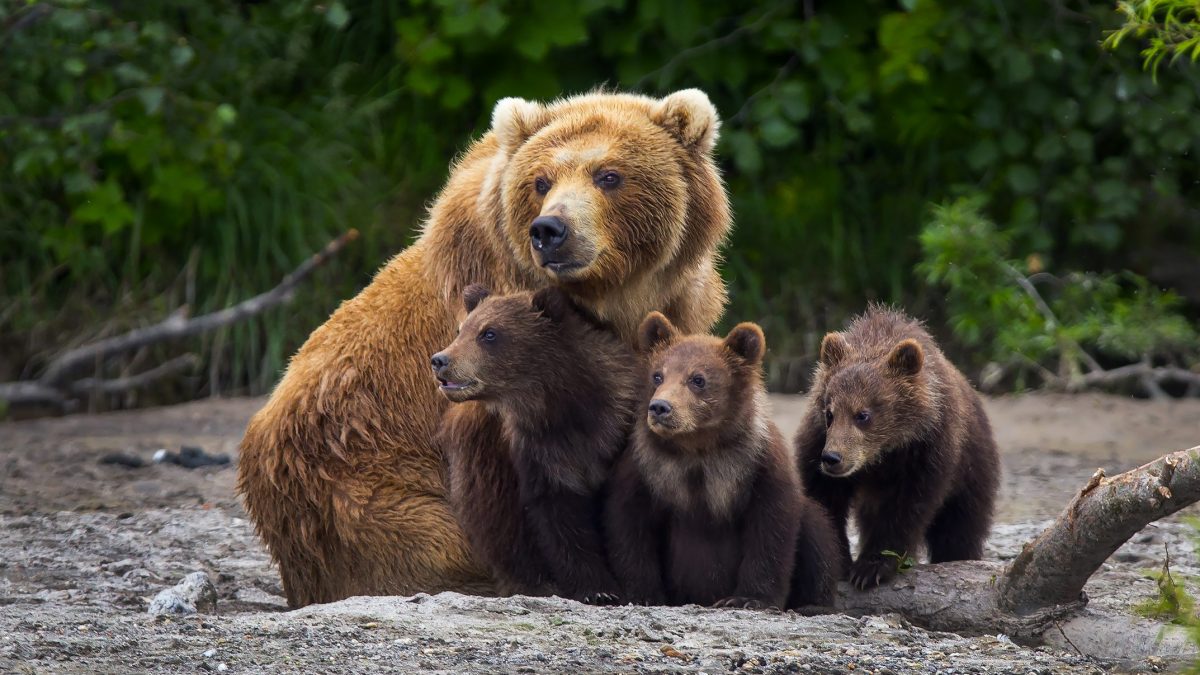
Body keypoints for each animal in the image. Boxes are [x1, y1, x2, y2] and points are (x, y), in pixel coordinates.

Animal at [431, 284, 635, 604]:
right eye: (461, 329)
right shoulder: (540, 453)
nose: (440, 360)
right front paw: (597, 589)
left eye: (489, 333)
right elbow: (559, 520)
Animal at [605, 312, 842, 610]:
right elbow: (629, 525)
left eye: (698, 379)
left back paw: (814, 603)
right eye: (657, 375)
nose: (660, 407)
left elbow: (771, 528)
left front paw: (748, 598)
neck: (697, 447)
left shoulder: (757, 463)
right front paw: (644, 594)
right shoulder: (646, 467)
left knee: (816, 528)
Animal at [794, 304, 1001, 590]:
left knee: (961, 526)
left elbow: (907, 508)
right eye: (829, 412)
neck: (883, 453)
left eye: (863, 414)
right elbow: (825, 498)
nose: (832, 458)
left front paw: (870, 568)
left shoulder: (927, 449)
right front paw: (840, 560)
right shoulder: (817, 440)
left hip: (973, 468)